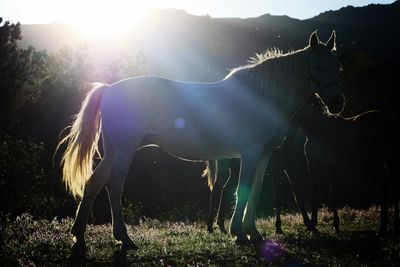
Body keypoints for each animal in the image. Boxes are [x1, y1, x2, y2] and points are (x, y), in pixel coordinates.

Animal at [58, 30, 344, 252]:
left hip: (114, 151)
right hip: (125, 152)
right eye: (318, 67)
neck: (263, 98)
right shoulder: (250, 153)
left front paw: (253, 232)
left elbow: (256, 190)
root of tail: (109, 89)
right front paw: (238, 233)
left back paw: (80, 238)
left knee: (93, 184)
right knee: (114, 187)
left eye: (338, 66)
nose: (338, 104)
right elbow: (243, 190)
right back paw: (124, 238)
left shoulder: (265, 155)